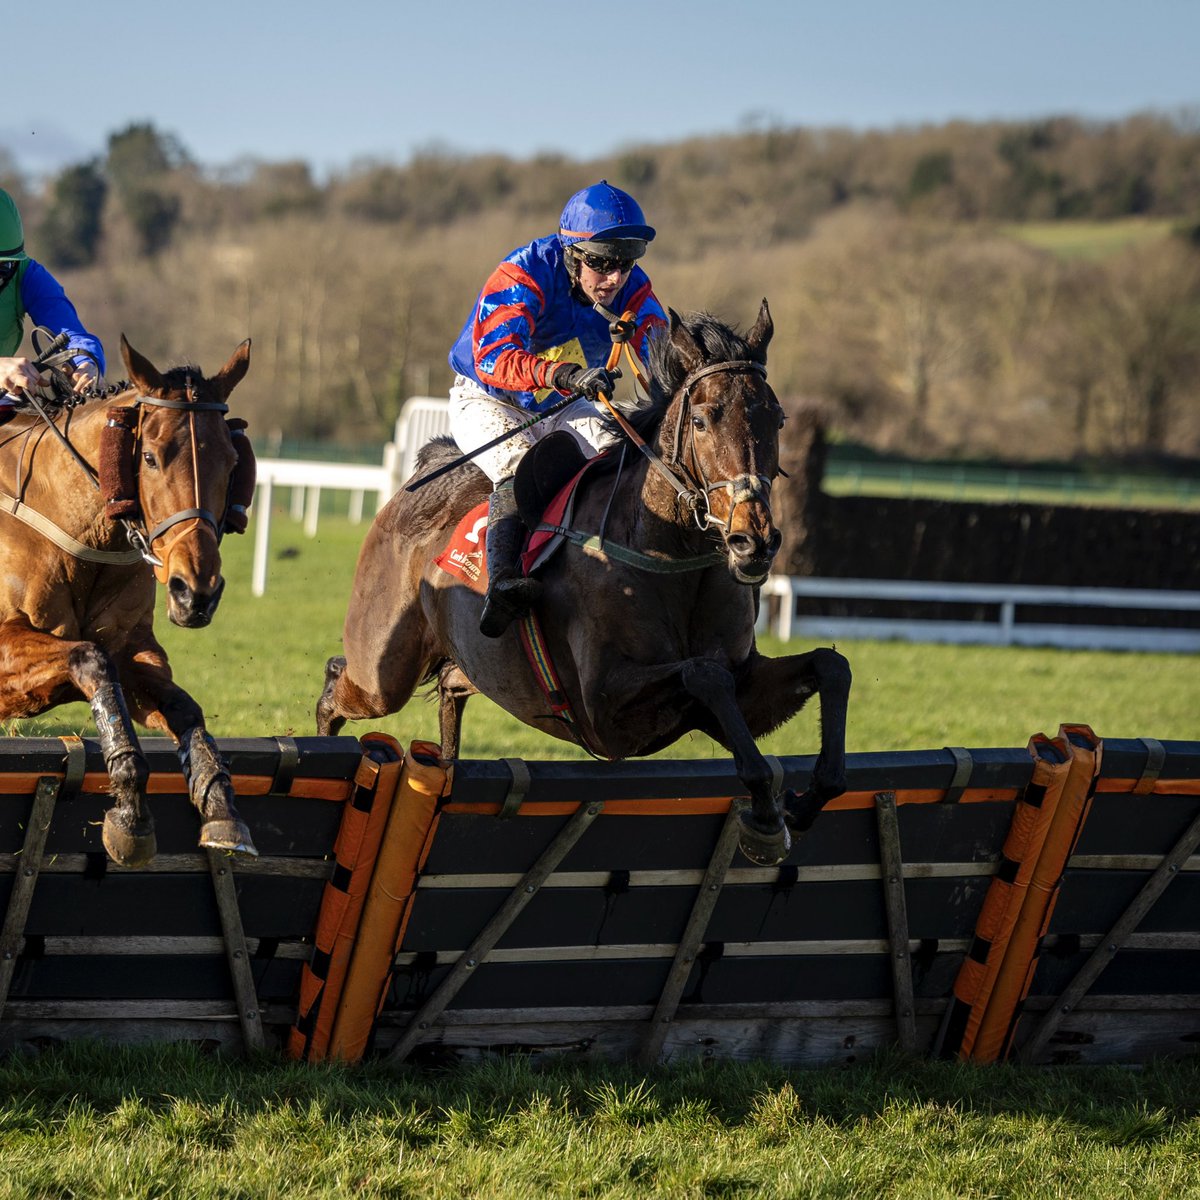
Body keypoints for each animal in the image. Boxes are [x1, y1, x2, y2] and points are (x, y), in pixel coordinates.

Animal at [0, 333, 260, 868]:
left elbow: (181, 707)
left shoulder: (134, 651)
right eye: (151, 458)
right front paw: (129, 812)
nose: (195, 591)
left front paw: (220, 806)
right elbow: (90, 659)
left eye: (232, 462)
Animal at [314, 300, 849, 864]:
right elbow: (704, 674)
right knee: (337, 683)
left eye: (777, 418)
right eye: (702, 420)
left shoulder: (739, 688)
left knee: (450, 692)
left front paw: (807, 797)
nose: (755, 541)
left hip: (469, 666)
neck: (669, 554)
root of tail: (419, 480)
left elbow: (829, 665)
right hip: (381, 673)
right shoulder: (604, 713)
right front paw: (766, 818)